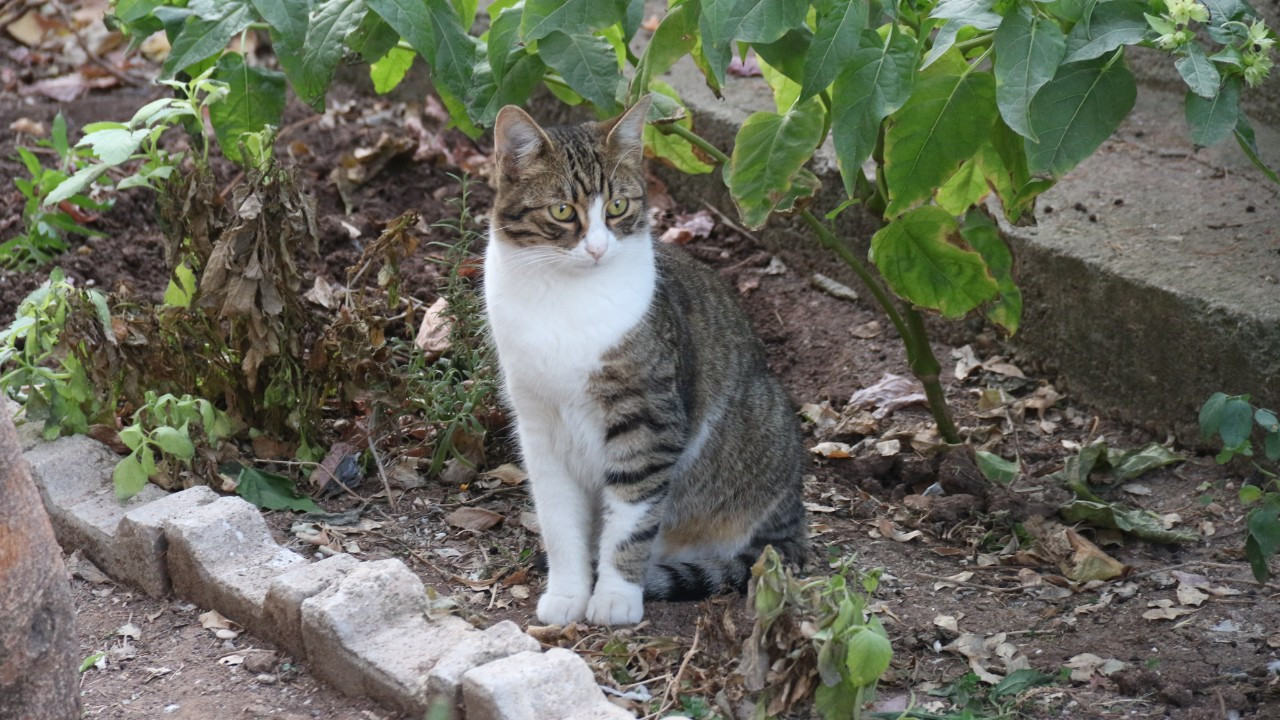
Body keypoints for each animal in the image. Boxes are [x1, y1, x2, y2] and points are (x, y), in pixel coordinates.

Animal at [483, 98, 803, 625]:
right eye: (562, 210)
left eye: (617, 206)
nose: (596, 249)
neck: (565, 300)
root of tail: (795, 522)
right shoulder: (538, 424)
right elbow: (557, 518)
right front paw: (567, 593)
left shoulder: (648, 420)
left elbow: (632, 517)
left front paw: (615, 596)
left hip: (763, 426)